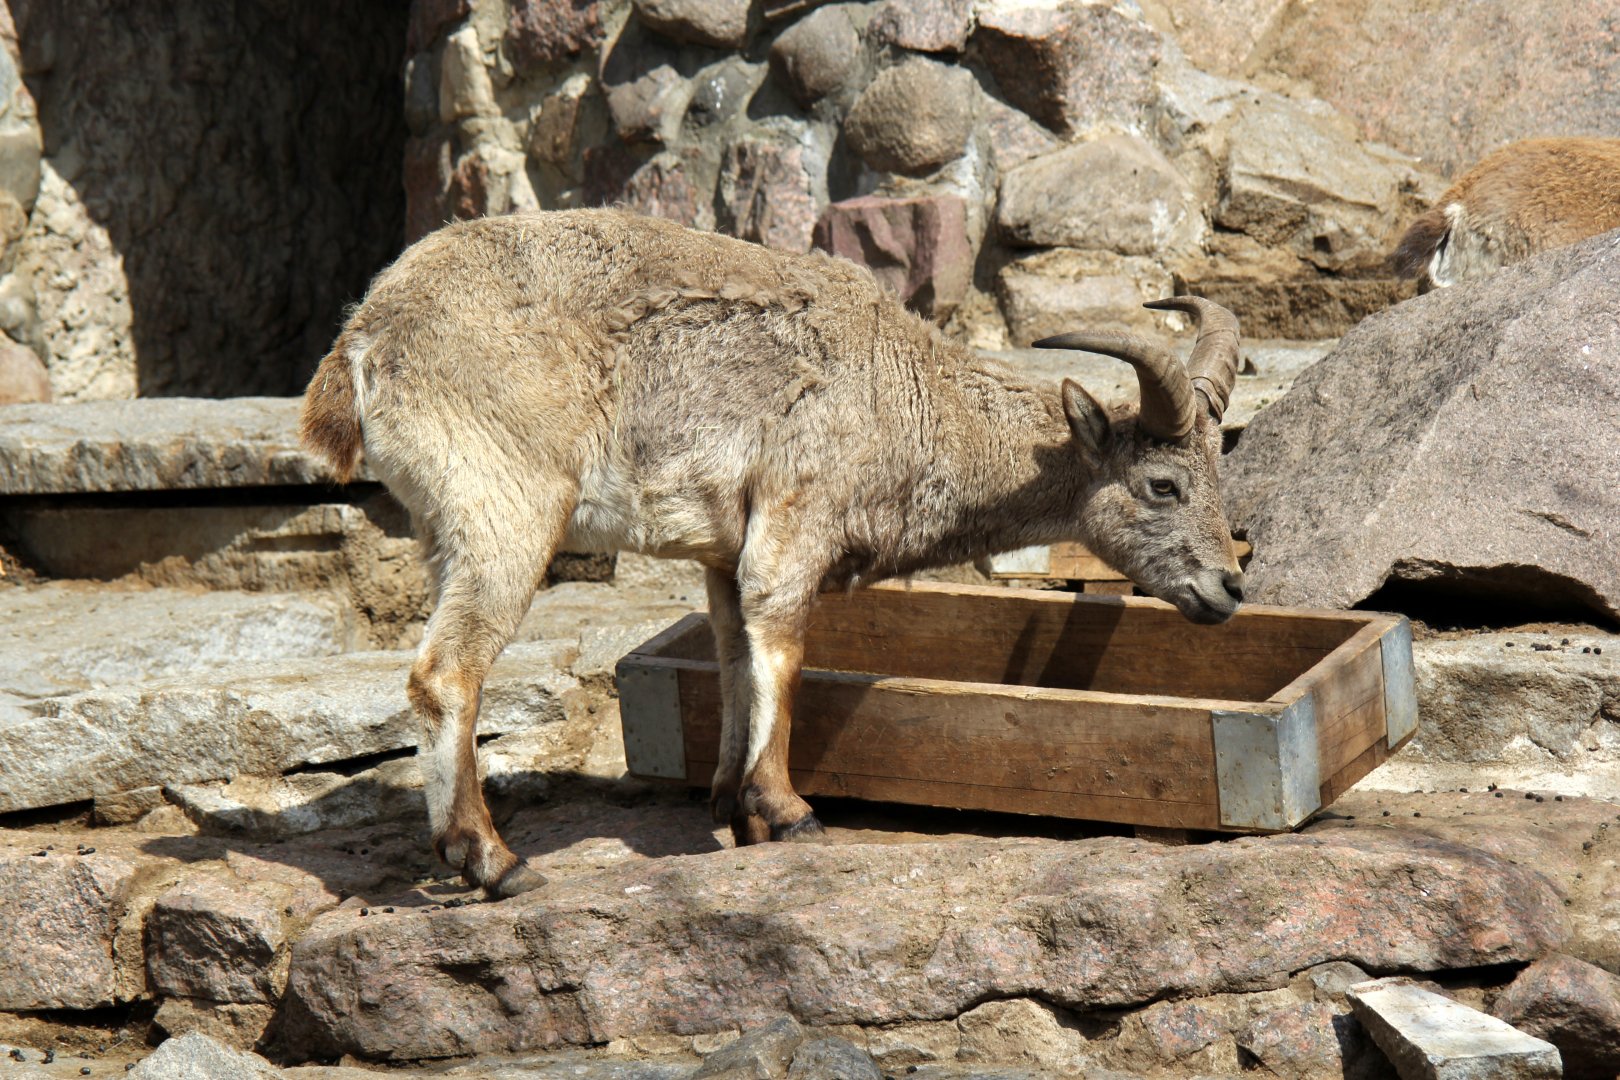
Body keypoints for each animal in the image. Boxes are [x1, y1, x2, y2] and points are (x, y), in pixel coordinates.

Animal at [300, 208, 1245, 898]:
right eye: (1163, 484)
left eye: (1218, 466)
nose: (1229, 586)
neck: (901, 394)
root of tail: (364, 342)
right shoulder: (797, 517)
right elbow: (783, 647)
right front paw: (787, 812)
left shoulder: (724, 551)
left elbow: (733, 655)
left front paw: (730, 802)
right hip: (507, 512)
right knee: (445, 674)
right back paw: (492, 861)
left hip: (442, 530)